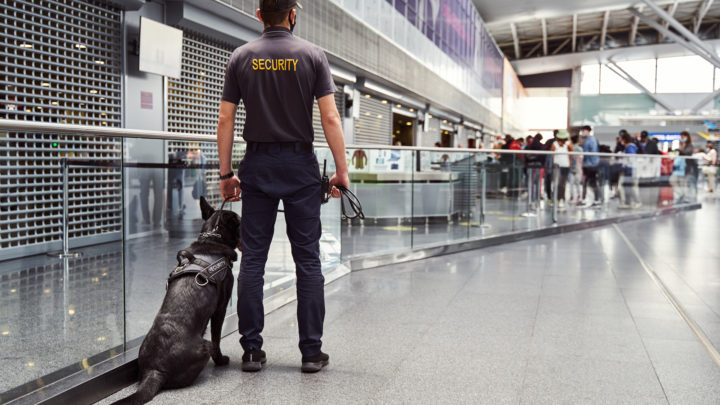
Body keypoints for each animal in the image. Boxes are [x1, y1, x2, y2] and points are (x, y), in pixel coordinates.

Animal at [112, 195, 242, 400]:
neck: (213, 240)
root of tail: (155, 371)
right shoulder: (220, 308)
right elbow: (217, 338)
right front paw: (221, 360)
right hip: (204, 345)